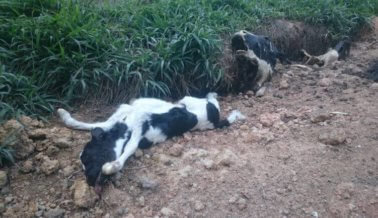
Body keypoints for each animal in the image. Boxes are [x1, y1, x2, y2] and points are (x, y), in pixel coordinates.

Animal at [56, 93, 245, 193]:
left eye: (88, 157)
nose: (89, 182)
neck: (123, 126)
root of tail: (215, 121)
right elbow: (93, 124)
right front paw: (64, 115)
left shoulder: (140, 121)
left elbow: (127, 149)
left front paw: (110, 167)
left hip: (193, 100)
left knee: (210, 99)